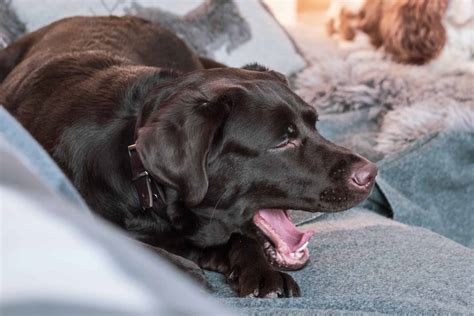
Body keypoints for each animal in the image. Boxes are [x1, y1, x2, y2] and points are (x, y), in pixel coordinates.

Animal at [0, 16, 378, 298]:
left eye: (315, 123)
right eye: (283, 141)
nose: (370, 173)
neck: (145, 185)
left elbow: (242, 238)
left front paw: (261, 272)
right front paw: (183, 270)